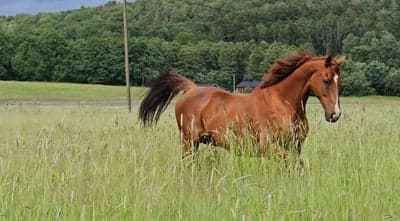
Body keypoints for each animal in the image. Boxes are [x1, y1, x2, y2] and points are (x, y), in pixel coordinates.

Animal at [139, 50, 346, 161]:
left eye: (340, 81)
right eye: (327, 80)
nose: (334, 114)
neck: (282, 103)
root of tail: (190, 88)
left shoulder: (295, 147)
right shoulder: (268, 148)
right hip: (188, 142)